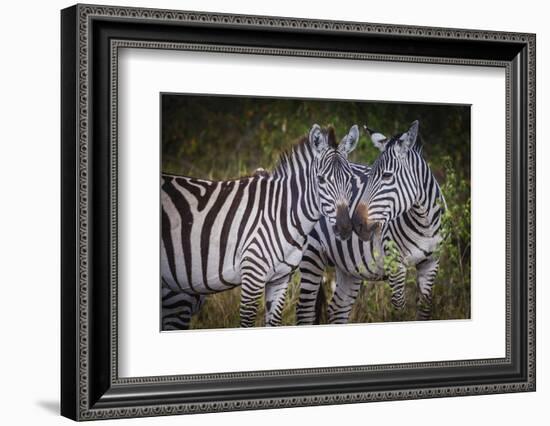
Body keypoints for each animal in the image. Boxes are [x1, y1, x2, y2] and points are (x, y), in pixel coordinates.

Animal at [162, 123, 360, 330]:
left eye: (350, 180)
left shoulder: (280, 279)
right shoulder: (252, 276)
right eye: (320, 179)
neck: (282, 213)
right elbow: (247, 322)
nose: (345, 228)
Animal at [298, 121, 448, 324]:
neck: (424, 223)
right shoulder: (395, 265)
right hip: (311, 254)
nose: (355, 224)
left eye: (387, 176)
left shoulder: (431, 263)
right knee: (305, 310)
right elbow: (399, 311)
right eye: (369, 176)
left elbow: (424, 310)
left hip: (349, 266)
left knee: (337, 308)